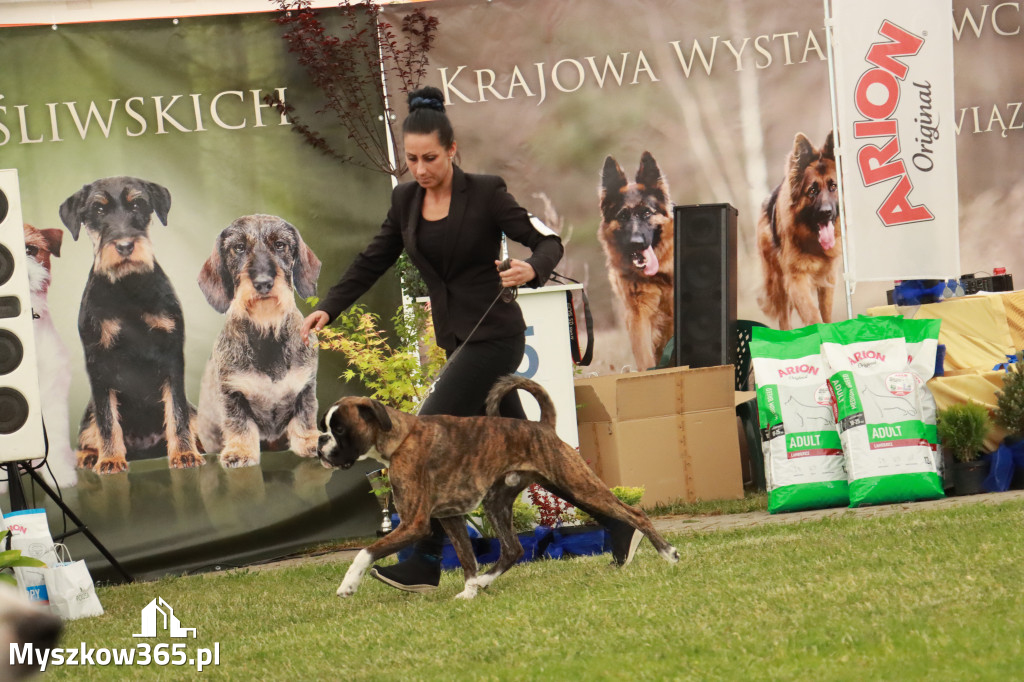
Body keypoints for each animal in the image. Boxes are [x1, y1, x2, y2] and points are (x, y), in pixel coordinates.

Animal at [315, 374, 675, 598]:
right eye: (326, 427)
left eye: (340, 429)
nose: (320, 442)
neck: (400, 439)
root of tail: (541, 426)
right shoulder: (450, 518)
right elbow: (467, 561)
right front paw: (470, 590)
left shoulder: (415, 523)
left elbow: (366, 551)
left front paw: (348, 585)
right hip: (499, 502)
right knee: (513, 549)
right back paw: (486, 581)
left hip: (577, 484)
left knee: (634, 513)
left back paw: (668, 554)